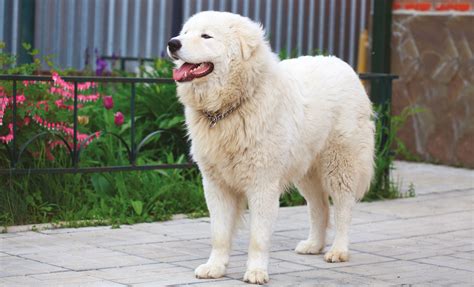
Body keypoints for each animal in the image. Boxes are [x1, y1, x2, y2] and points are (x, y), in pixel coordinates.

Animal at [167, 11, 374, 286]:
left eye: (206, 36)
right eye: (185, 33)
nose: (173, 43)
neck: (232, 107)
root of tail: (343, 65)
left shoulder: (262, 185)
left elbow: (258, 237)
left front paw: (256, 272)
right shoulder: (215, 185)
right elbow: (219, 234)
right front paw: (215, 268)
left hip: (340, 166)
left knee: (343, 209)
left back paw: (338, 250)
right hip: (306, 172)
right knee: (320, 207)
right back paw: (313, 245)